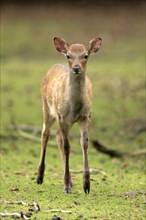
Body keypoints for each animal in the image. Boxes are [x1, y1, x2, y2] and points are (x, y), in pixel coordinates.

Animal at [36, 37, 101, 193]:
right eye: (68, 56)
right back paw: (40, 177)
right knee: (45, 134)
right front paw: (65, 186)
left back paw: (71, 181)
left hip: (67, 120)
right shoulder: (62, 116)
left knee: (58, 135)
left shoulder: (86, 116)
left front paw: (86, 185)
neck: (75, 107)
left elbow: (84, 143)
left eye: (85, 55)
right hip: (47, 108)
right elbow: (67, 147)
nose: (76, 68)